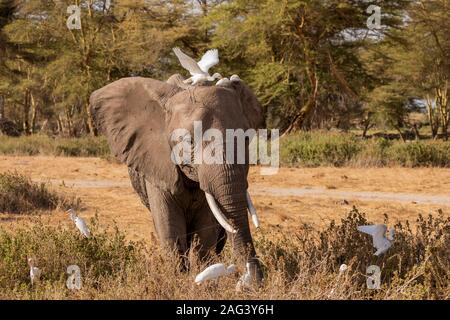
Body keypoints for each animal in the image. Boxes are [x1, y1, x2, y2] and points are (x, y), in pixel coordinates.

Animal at [89, 74, 264, 284]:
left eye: (246, 139)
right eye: (189, 141)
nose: (251, 283)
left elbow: (205, 232)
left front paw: (202, 282)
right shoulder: (157, 164)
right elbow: (170, 227)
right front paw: (179, 282)